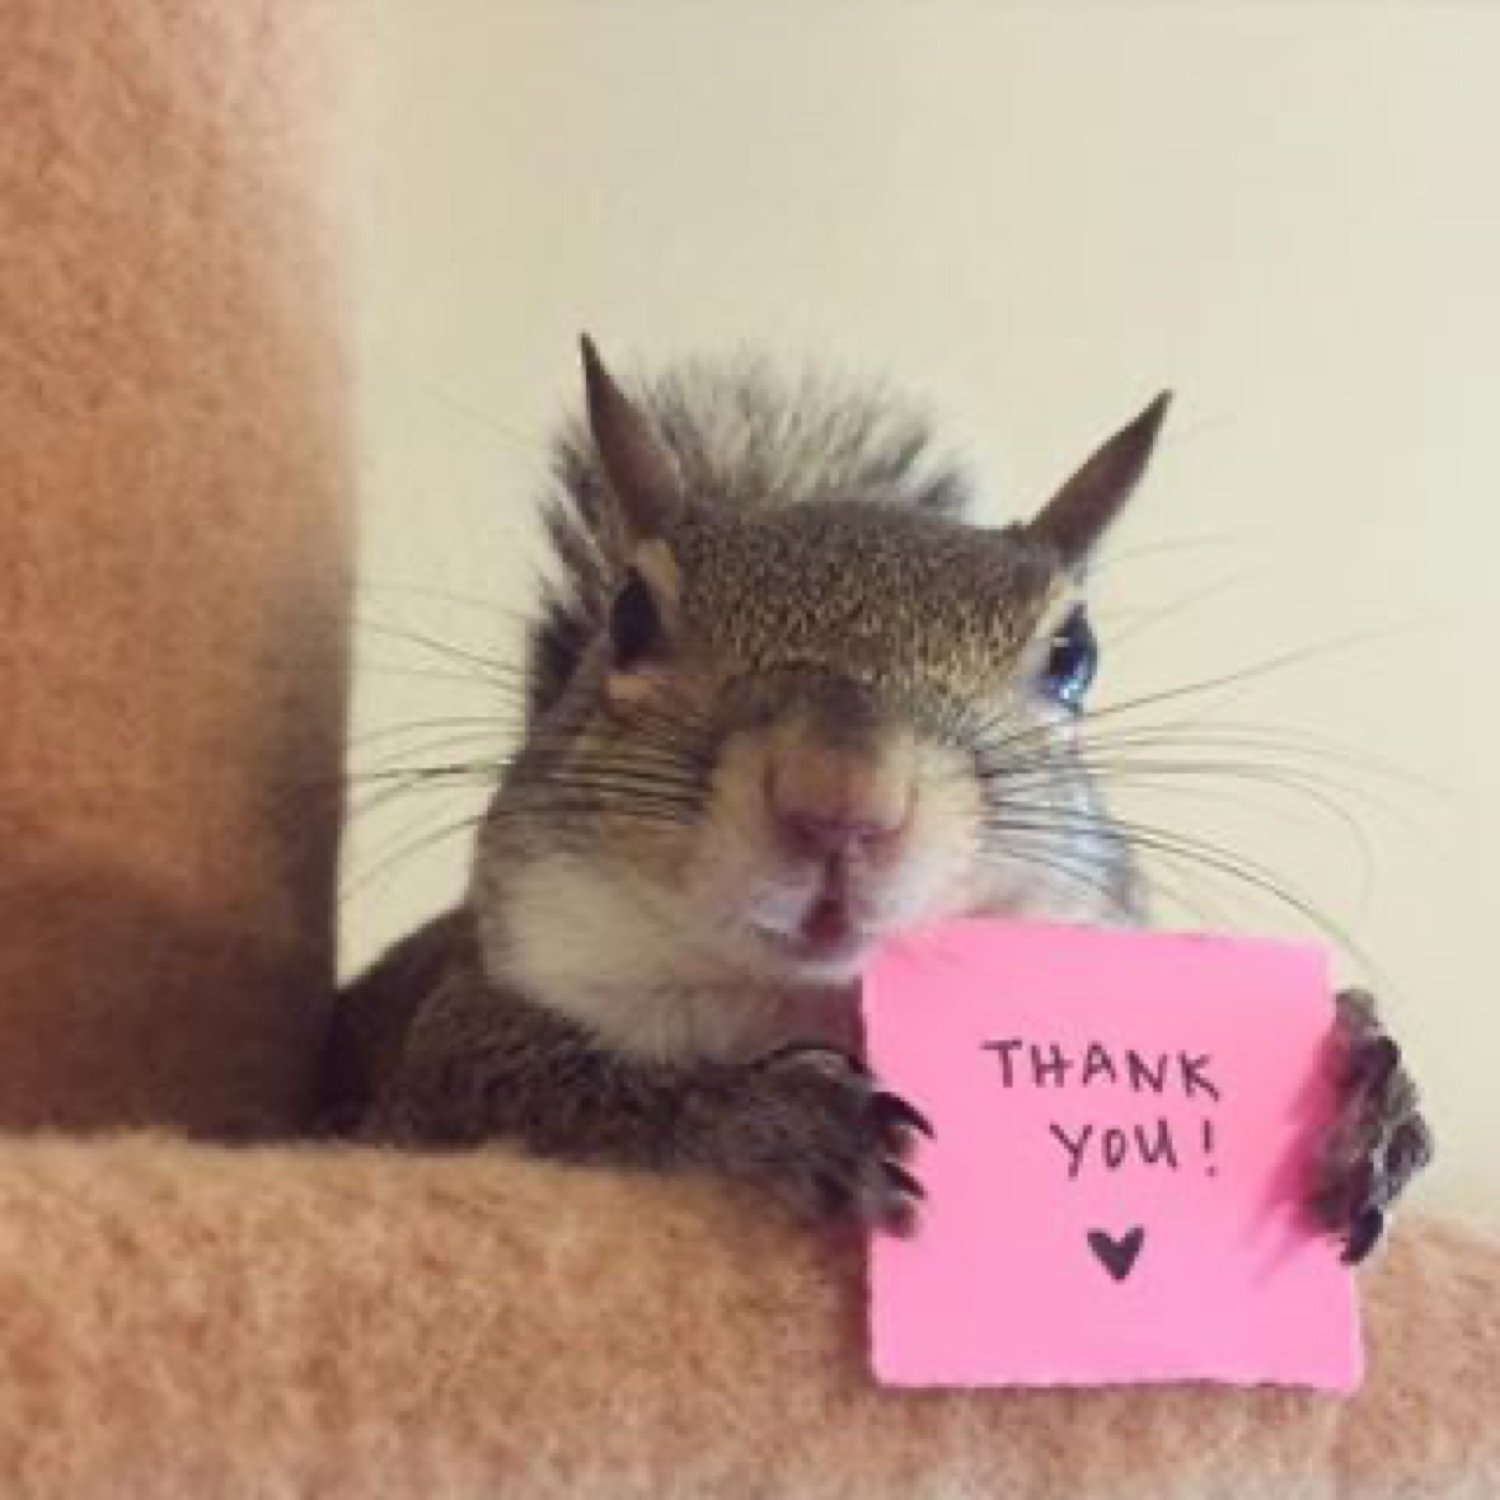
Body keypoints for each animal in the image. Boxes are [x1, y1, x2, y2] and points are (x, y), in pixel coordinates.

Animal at [321, 339, 1431, 1260]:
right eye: (629, 615)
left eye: (1074, 655)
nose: (841, 801)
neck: (810, 998)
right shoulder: (446, 1051)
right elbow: (548, 1085)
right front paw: (772, 1120)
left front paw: (1363, 1087)